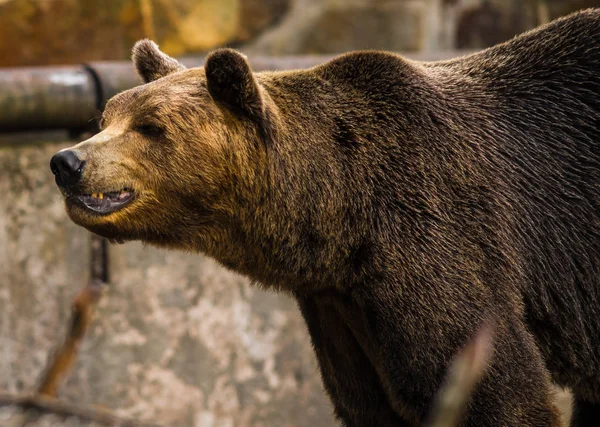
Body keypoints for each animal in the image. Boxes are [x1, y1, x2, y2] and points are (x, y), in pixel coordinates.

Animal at [50, 7, 600, 427]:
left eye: (150, 126)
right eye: (106, 117)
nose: (67, 161)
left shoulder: (438, 235)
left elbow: (495, 388)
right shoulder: (341, 310)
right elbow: (371, 405)